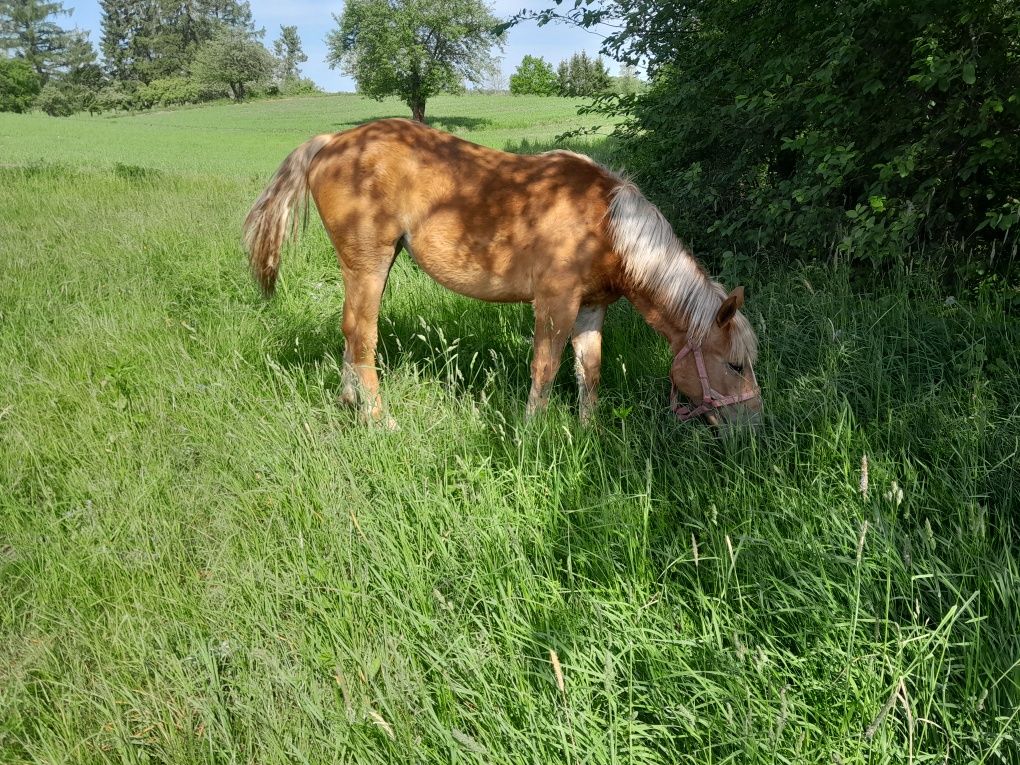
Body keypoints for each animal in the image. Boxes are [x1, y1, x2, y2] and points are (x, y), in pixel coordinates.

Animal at [242, 120, 762, 432]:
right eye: (736, 365)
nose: (756, 425)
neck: (607, 224)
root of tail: (330, 142)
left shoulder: (591, 308)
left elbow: (589, 370)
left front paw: (588, 431)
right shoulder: (554, 303)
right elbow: (546, 367)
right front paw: (533, 433)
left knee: (351, 336)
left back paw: (349, 405)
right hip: (367, 263)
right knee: (361, 335)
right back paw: (377, 418)